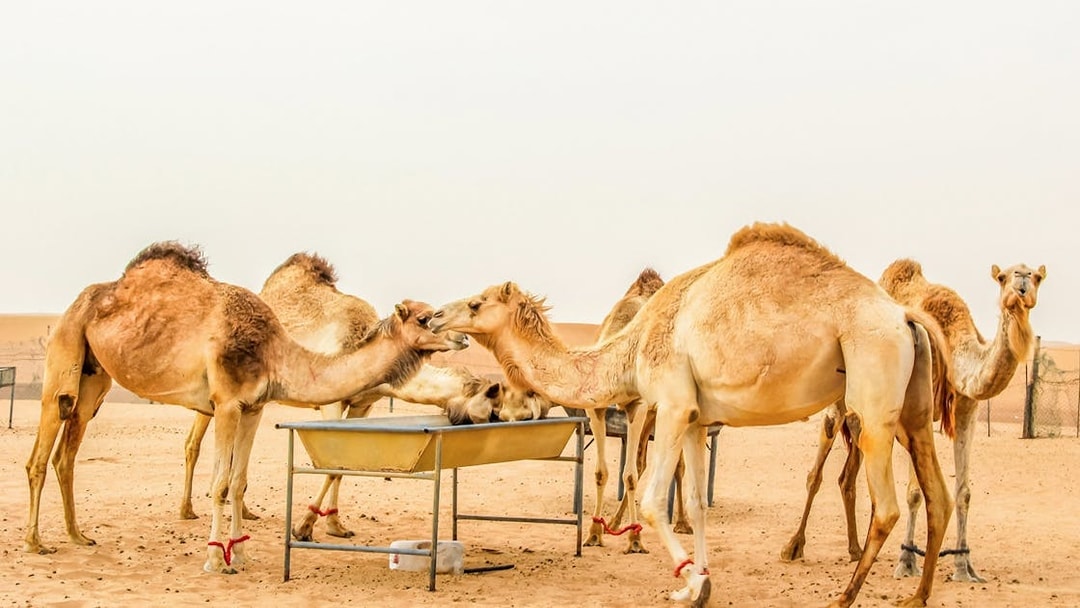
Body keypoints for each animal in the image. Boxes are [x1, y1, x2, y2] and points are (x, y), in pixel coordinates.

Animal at [24, 241, 462, 574]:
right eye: (426, 318)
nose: (459, 338)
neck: (275, 351)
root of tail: (79, 302)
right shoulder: (227, 403)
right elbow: (221, 483)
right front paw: (216, 560)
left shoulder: (253, 407)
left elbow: (237, 482)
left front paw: (243, 553)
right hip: (64, 354)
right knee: (41, 453)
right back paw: (35, 542)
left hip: (94, 379)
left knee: (67, 454)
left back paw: (77, 535)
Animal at [430, 222, 954, 607]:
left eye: (476, 303)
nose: (435, 316)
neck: (633, 346)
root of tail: (904, 315)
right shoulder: (697, 418)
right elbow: (699, 504)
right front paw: (701, 579)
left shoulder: (671, 404)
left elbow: (650, 500)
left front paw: (689, 583)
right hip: (912, 409)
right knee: (938, 495)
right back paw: (917, 596)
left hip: (873, 392)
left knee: (887, 507)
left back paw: (843, 597)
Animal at [780, 259, 1045, 585]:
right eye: (1003, 277)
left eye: (1037, 276)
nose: (1021, 286)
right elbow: (915, 493)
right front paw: (906, 561)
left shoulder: (967, 409)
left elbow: (964, 492)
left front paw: (964, 566)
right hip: (836, 404)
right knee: (815, 473)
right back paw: (794, 546)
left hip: (865, 416)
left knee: (847, 478)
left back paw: (856, 550)